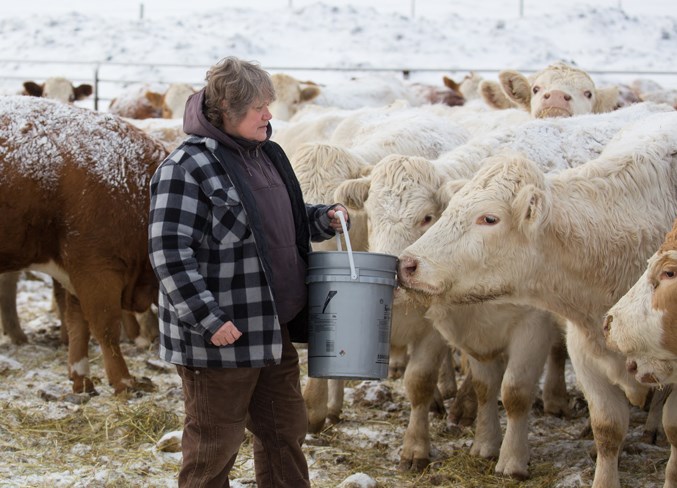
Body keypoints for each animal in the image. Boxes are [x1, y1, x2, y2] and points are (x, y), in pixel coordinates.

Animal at [0, 96, 166, 396]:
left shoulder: (74, 272)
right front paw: (123, 380)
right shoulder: (94, 265)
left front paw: (82, 378)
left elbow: (79, 324)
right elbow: (105, 326)